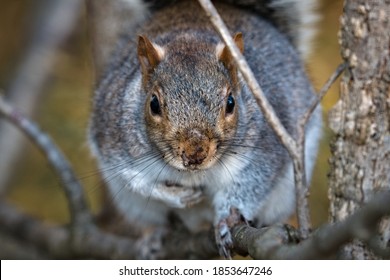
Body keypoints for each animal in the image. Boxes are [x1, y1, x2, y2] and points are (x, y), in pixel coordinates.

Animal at [89, 0, 322, 258]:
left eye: (231, 103)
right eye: (154, 104)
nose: (195, 154)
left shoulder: (266, 148)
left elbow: (251, 183)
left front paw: (226, 221)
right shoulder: (114, 141)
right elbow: (136, 179)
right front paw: (177, 196)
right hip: (135, 205)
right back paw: (153, 235)